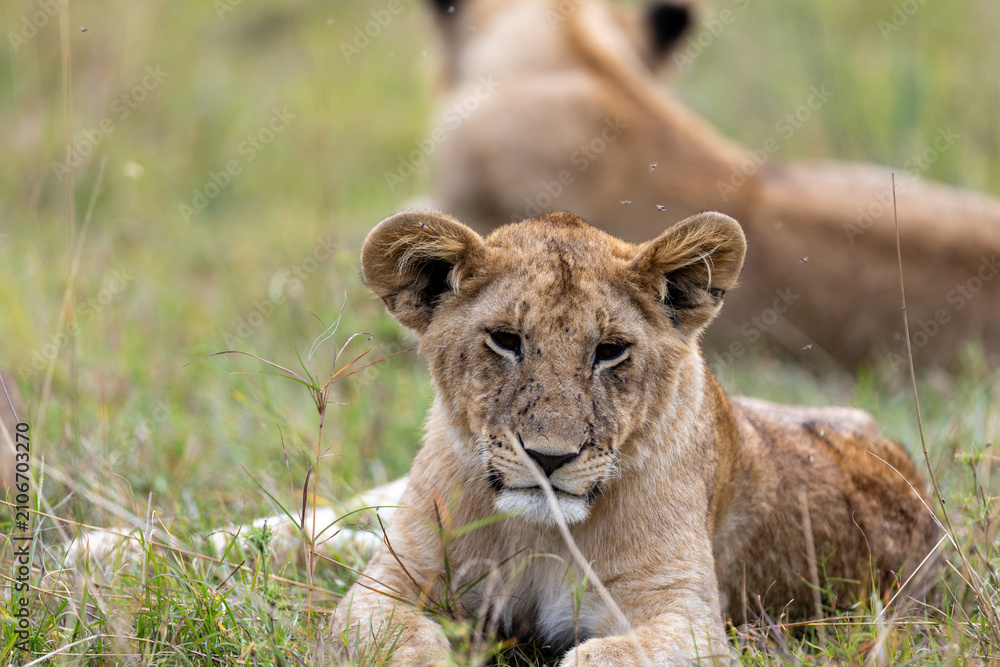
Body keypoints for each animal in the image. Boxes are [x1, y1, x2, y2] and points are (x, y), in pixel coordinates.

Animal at [332, 209, 939, 665]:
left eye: (610, 351)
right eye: (505, 340)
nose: (549, 458)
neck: (540, 534)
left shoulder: (688, 619)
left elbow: (598, 656)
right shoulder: (388, 583)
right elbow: (405, 642)